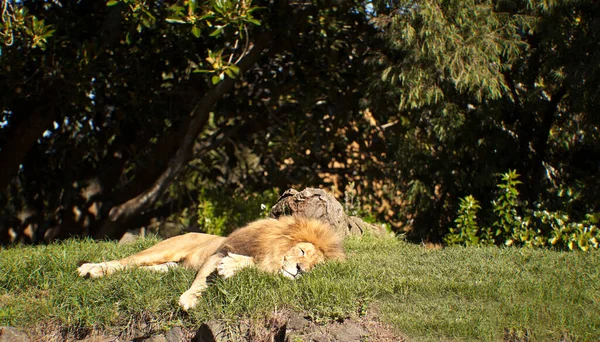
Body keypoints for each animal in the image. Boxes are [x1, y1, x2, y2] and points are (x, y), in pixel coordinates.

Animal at [77, 216, 344, 310]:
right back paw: (91, 269)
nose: (301, 271)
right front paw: (189, 299)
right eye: (301, 250)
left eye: (314, 266)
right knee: (125, 261)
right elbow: (201, 281)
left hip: (165, 268)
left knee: (141, 270)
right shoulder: (218, 253)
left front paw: (234, 266)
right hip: (163, 250)